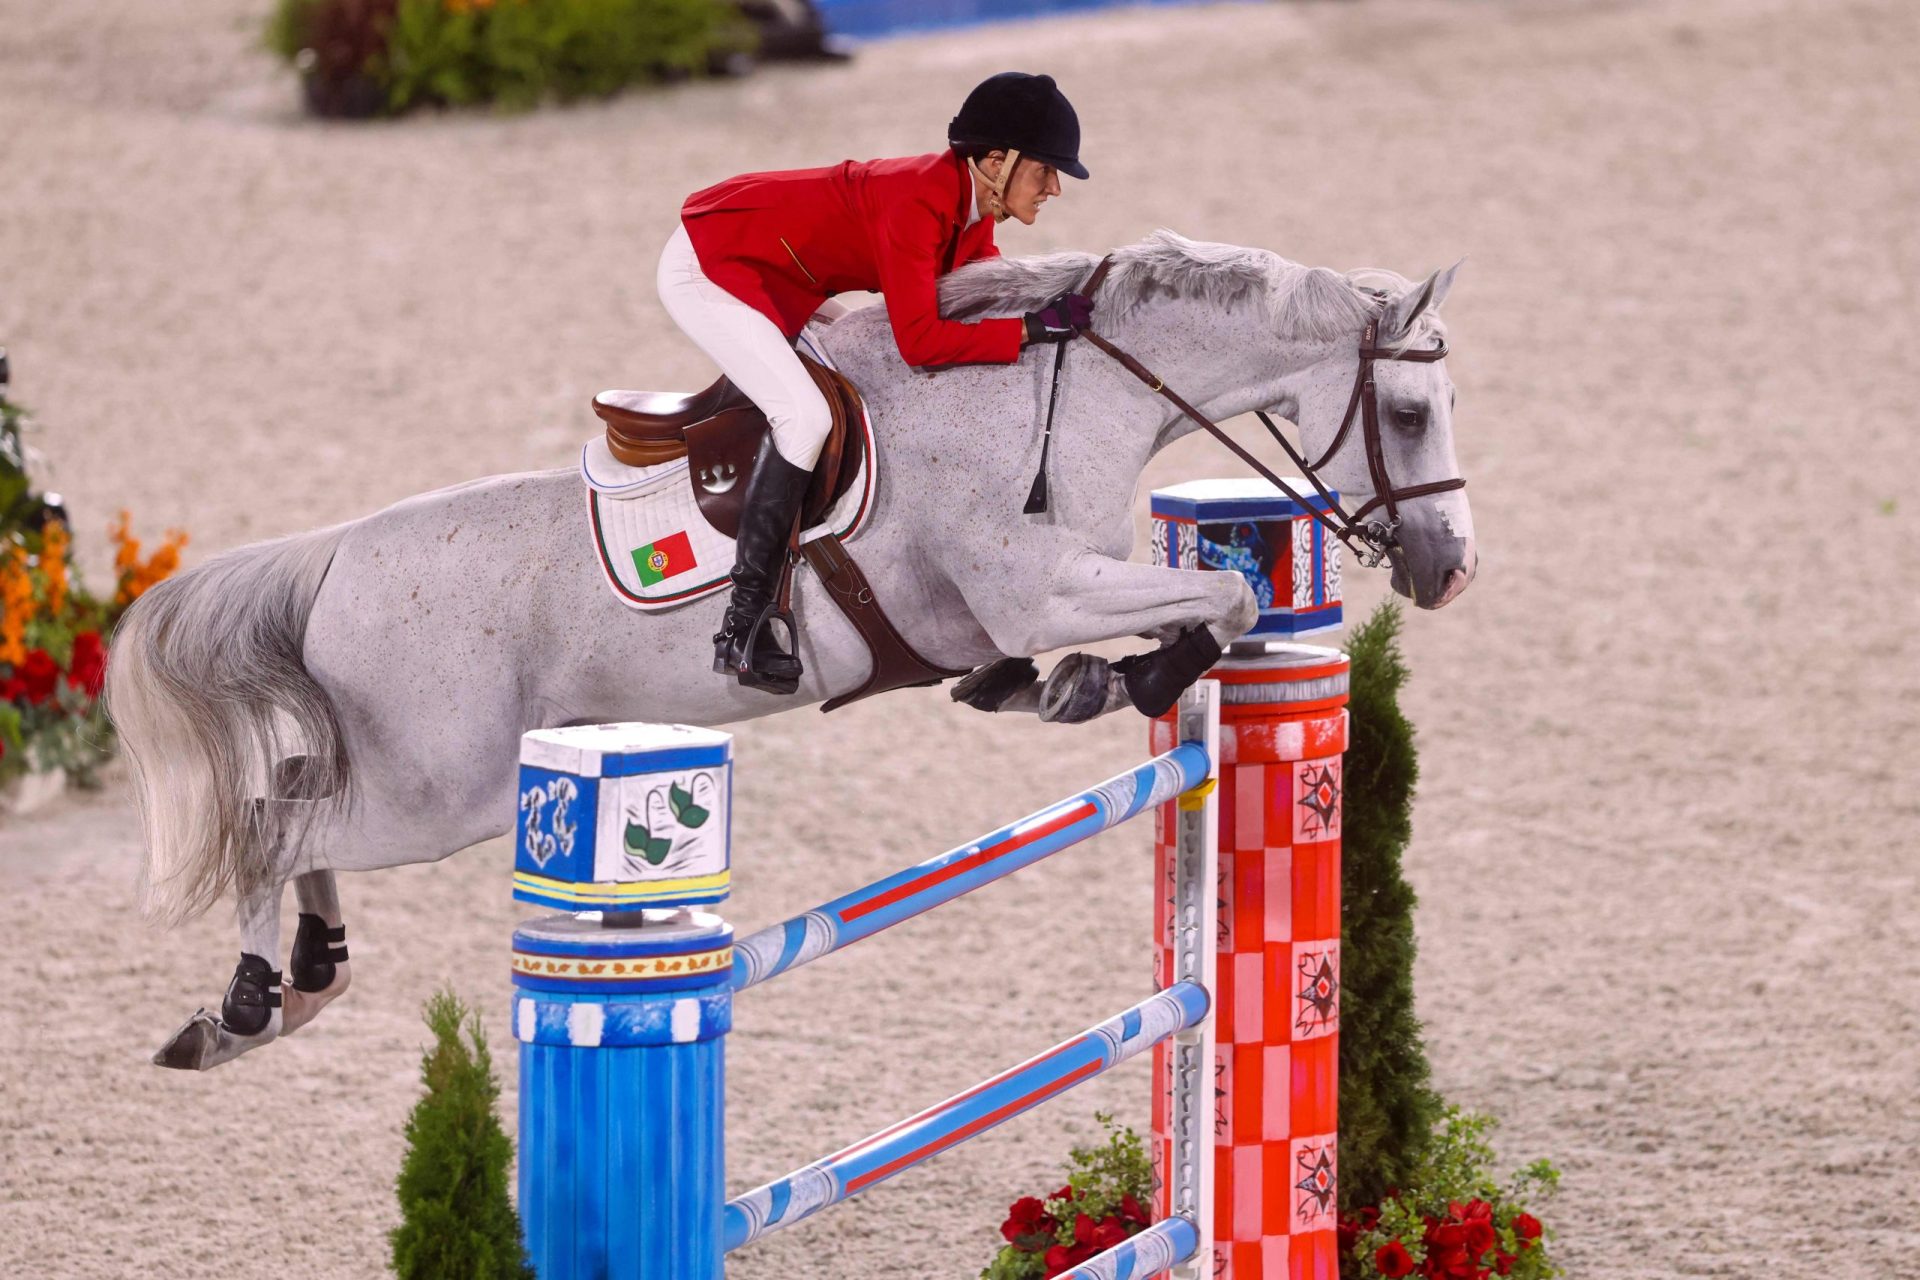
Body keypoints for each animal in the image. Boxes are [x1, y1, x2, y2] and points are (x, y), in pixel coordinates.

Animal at [108, 233, 1466, 1074]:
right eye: (1407, 413)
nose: (1449, 567)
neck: (1063, 394)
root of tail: (336, 554)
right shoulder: (1033, 593)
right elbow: (1224, 598)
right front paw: (1127, 678)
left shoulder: (1036, 599)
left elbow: (1186, 609)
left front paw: (1076, 685)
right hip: (448, 792)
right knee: (276, 824)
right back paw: (242, 1007)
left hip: (410, 773)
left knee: (287, 794)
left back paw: (305, 976)